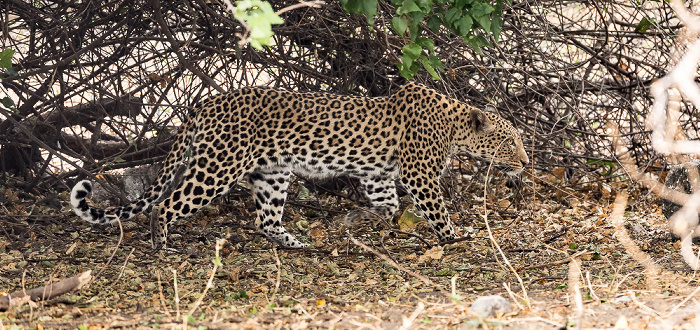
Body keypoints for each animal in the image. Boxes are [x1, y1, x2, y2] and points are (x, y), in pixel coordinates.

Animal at [71, 82, 528, 248]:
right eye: (510, 140)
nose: (526, 161)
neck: (455, 126)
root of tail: (206, 103)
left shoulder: (377, 174)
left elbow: (388, 205)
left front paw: (358, 220)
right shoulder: (420, 175)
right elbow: (435, 209)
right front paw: (455, 236)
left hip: (273, 173)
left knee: (265, 219)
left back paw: (295, 242)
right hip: (218, 166)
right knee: (167, 204)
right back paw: (162, 244)